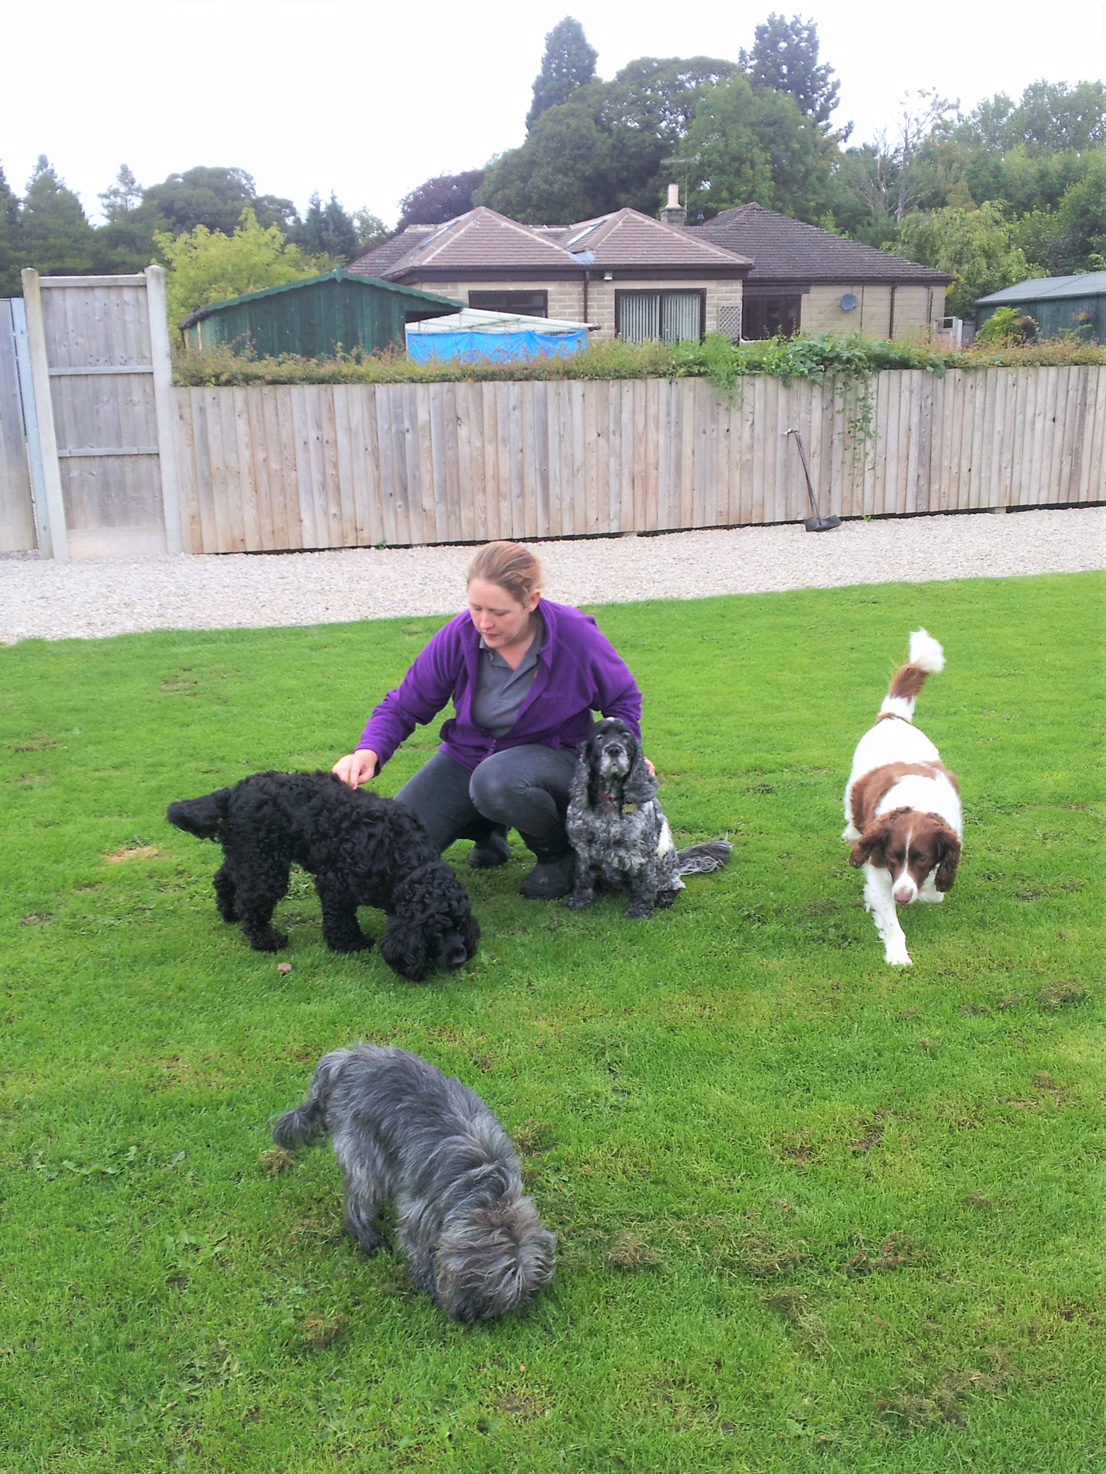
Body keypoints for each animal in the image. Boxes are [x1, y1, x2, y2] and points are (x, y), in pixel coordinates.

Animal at [166, 771, 479, 982]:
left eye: (460, 924)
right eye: (436, 930)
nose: (460, 957)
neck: (399, 853)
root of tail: (234, 790)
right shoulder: (335, 884)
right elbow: (340, 920)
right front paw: (350, 944)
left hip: (248, 854)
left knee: (225, 877)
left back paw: (229, 912)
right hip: (265, 864)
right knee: (252, 902)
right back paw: (266, 940)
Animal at [272, 1045, 556, 1322]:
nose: (472, 1319)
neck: (485, 1185)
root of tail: (343, 1061)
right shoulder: (421, 1210)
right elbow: (418, 1246)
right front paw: (429, 1284)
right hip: (366, 1161)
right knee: (357, 1203)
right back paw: (369, 1240)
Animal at [565, 718, 731, 918]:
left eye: (625, 736)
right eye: (599, 737)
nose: (614, 750)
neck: (610, 802)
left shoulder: (642, 853)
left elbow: (645, 884)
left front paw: (639, 911)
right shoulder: (583, 849)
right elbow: (582, 879)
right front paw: (579, 902)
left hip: (666, 864)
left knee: (674, 884)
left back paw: (665, 897)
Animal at [844, 631, 962, 966]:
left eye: (922, 858)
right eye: (893, 856)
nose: (902, 897)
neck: (917, 802)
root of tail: (893, 717)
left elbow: (935, 890)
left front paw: (928, 890)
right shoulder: (878, 866)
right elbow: (889, 915)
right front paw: (897, 953)